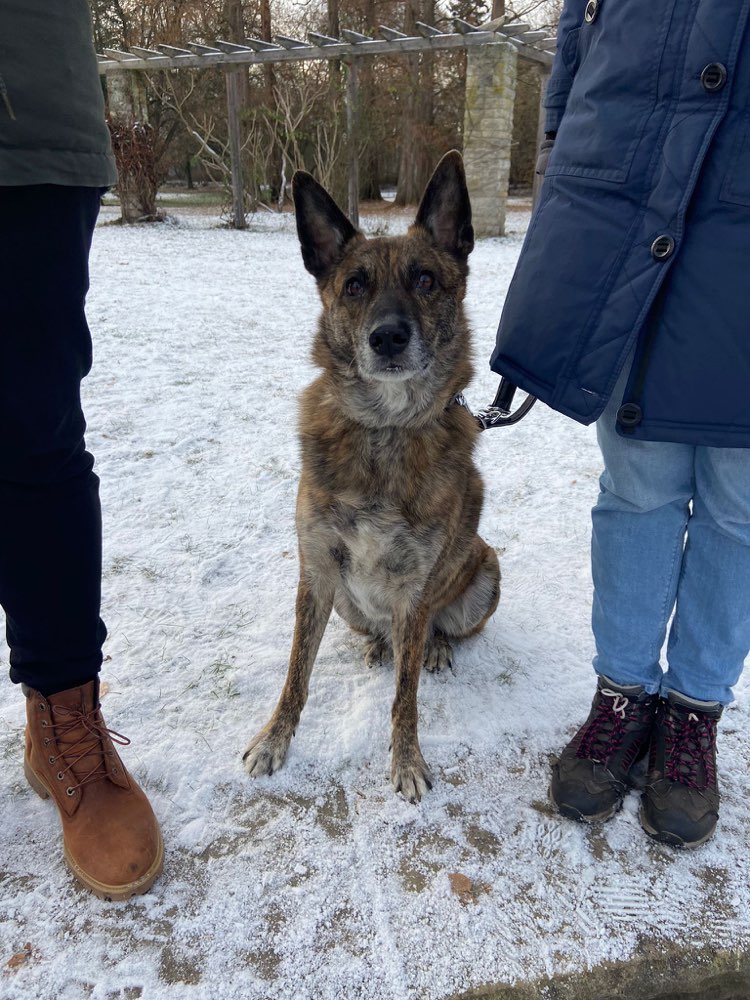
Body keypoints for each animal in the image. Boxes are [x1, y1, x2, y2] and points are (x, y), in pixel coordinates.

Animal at [244, 150, 502, 804]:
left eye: (426, 280)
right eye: (354, 285)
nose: (387, 337)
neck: (385, 431)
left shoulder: (415, 590)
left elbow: (405, 698)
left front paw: (406, 760)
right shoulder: (316, 571)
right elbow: (296, 674)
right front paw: (275, 739)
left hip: (484, 571)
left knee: (435, 633)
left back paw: (434, 650)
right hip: (346, 602)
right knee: (382, 635)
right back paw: (378, 646)